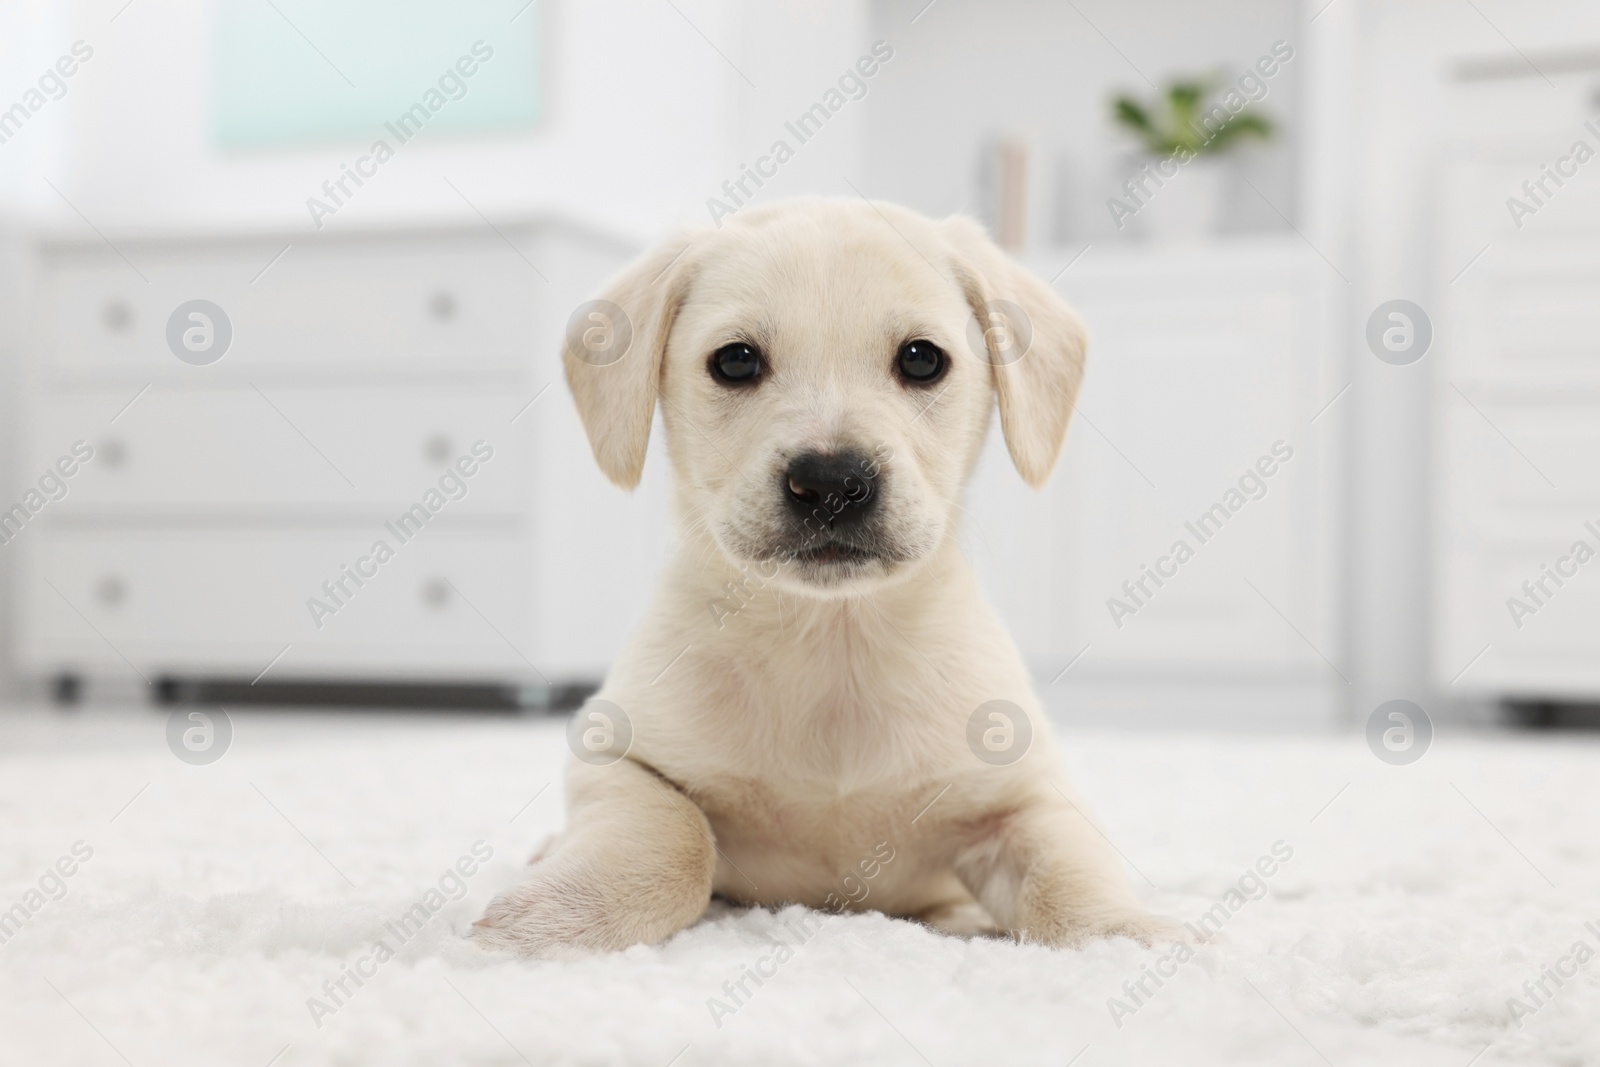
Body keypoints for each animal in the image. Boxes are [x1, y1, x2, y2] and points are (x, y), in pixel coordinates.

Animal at [467, 195, 1171, 953]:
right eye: (736, 360)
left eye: (922, 359)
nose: (832, 483)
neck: (833, 644)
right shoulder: (614, 757)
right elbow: (677, 839)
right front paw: (559, 917)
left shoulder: (1030, 798)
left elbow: (1070, 872)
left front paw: (1130, 934)